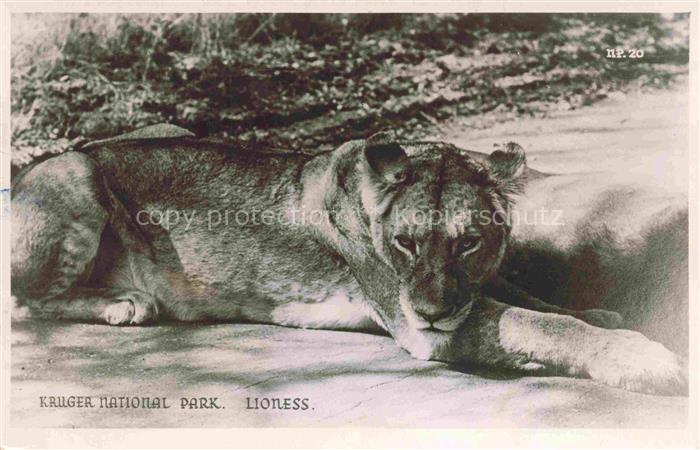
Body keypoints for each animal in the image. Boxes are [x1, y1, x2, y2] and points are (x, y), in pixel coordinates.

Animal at [10, 124, 687, 395]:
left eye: (468, 242)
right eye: (406, 243)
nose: (432, 308)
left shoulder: (468, 291)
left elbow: (535, 301)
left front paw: (601, 314)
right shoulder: (426, 332)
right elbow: (536, 322)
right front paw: (642, 359)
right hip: (76, 174)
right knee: (26, 301)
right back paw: (124, 304)